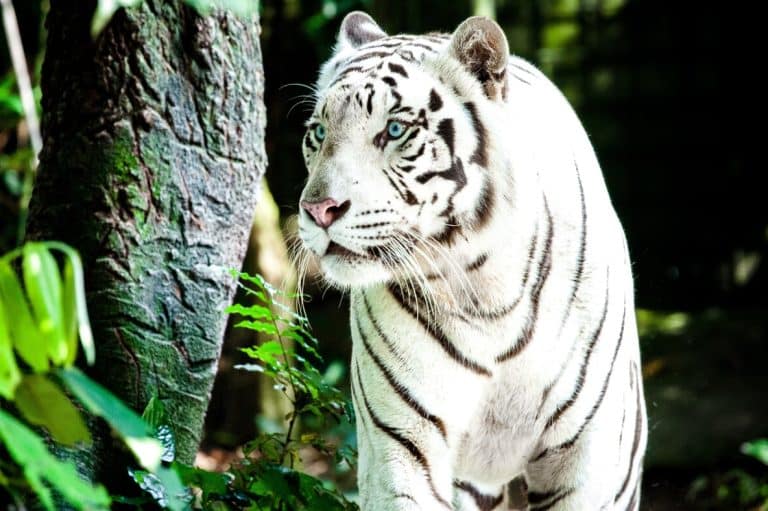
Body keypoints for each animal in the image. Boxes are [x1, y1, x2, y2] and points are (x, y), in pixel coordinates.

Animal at [294, 11, 647, 511]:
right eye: (319, 132)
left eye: (395, 130)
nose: (318, 210)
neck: (484, 286)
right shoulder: (401, 440)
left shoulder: (588, 457)